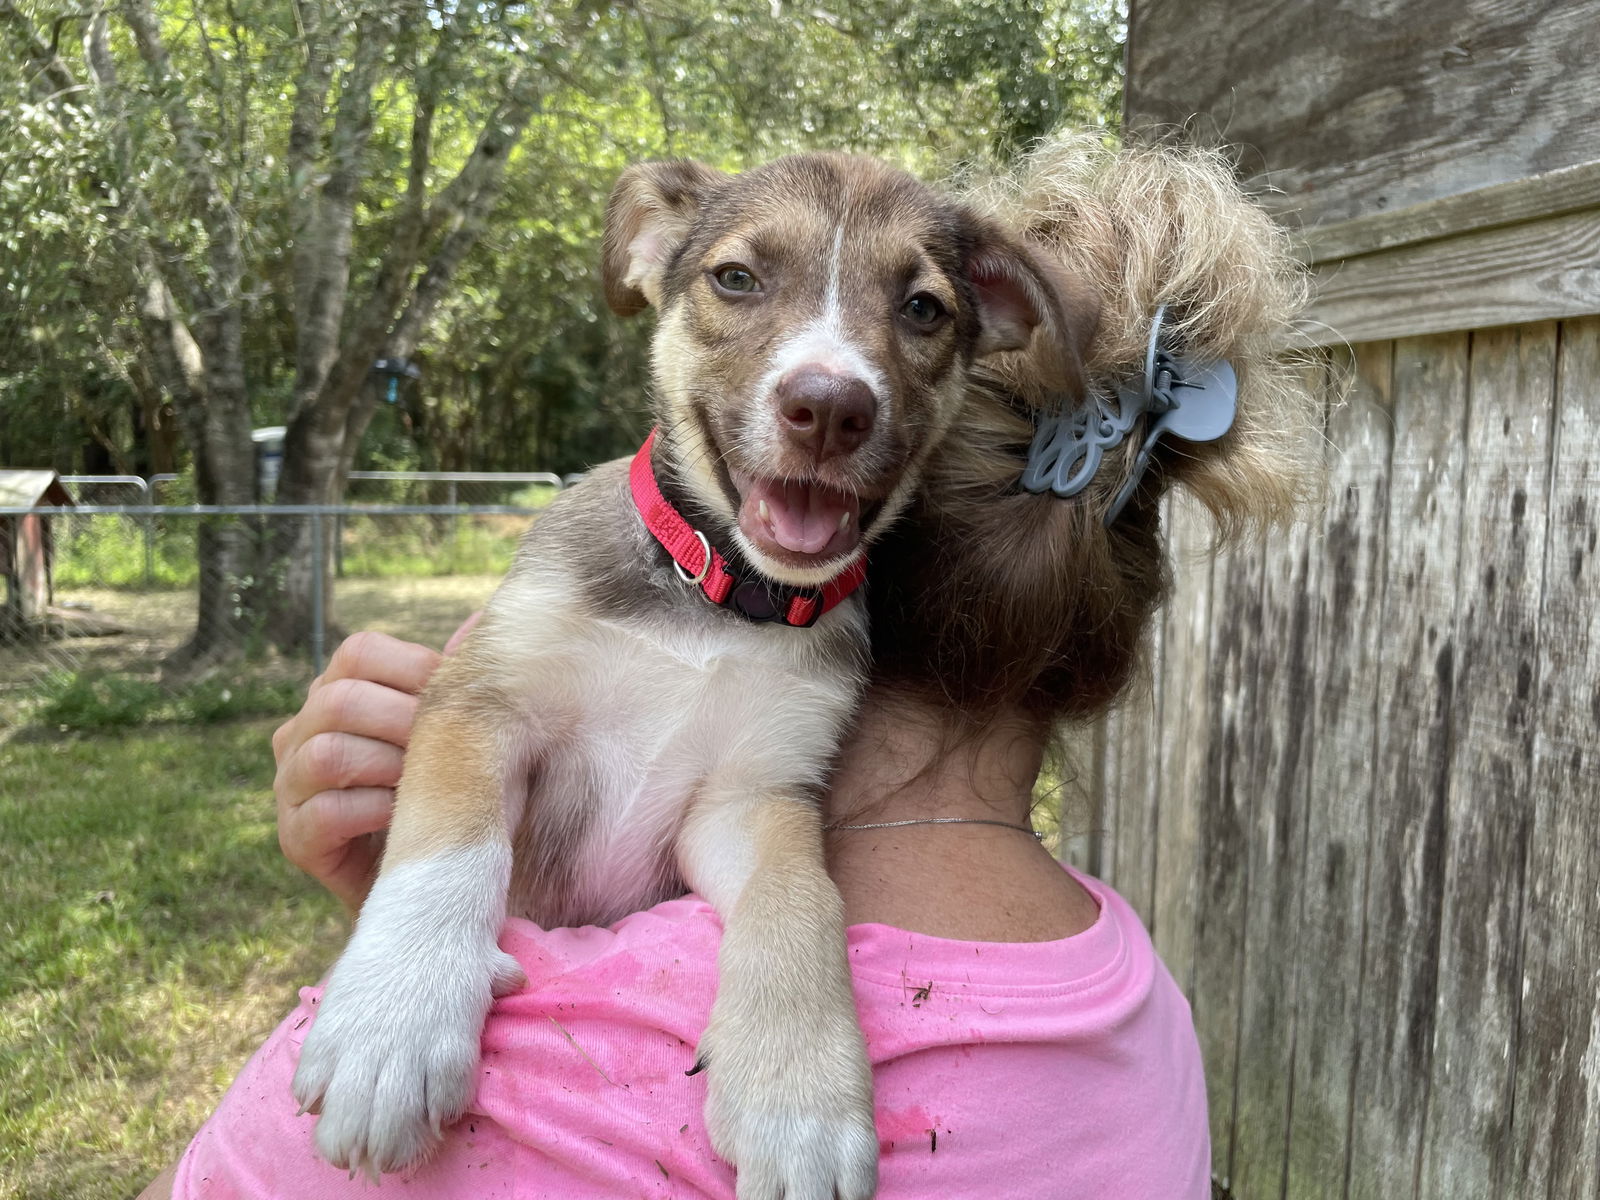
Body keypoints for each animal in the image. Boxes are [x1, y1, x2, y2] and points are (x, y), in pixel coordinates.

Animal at [296, 155, 1081, 1196]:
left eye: (923, 307)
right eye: (736, 278)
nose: (830, 408)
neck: (716, 601)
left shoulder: (753, 796)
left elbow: (803, 901)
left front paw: (801, 1097)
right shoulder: (482, 702)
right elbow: (450, 843)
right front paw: (393, 1023)